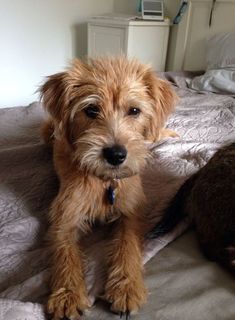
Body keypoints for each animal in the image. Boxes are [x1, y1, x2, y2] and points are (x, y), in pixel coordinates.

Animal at [40, 57, 176, 320]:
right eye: (91, 110)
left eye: (134, 110)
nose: (115, 155)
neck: (105, 181)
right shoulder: (64, 217)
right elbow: (65, 253)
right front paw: (68, 295)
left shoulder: (131, 212)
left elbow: (128, 245)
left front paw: (127, 287)